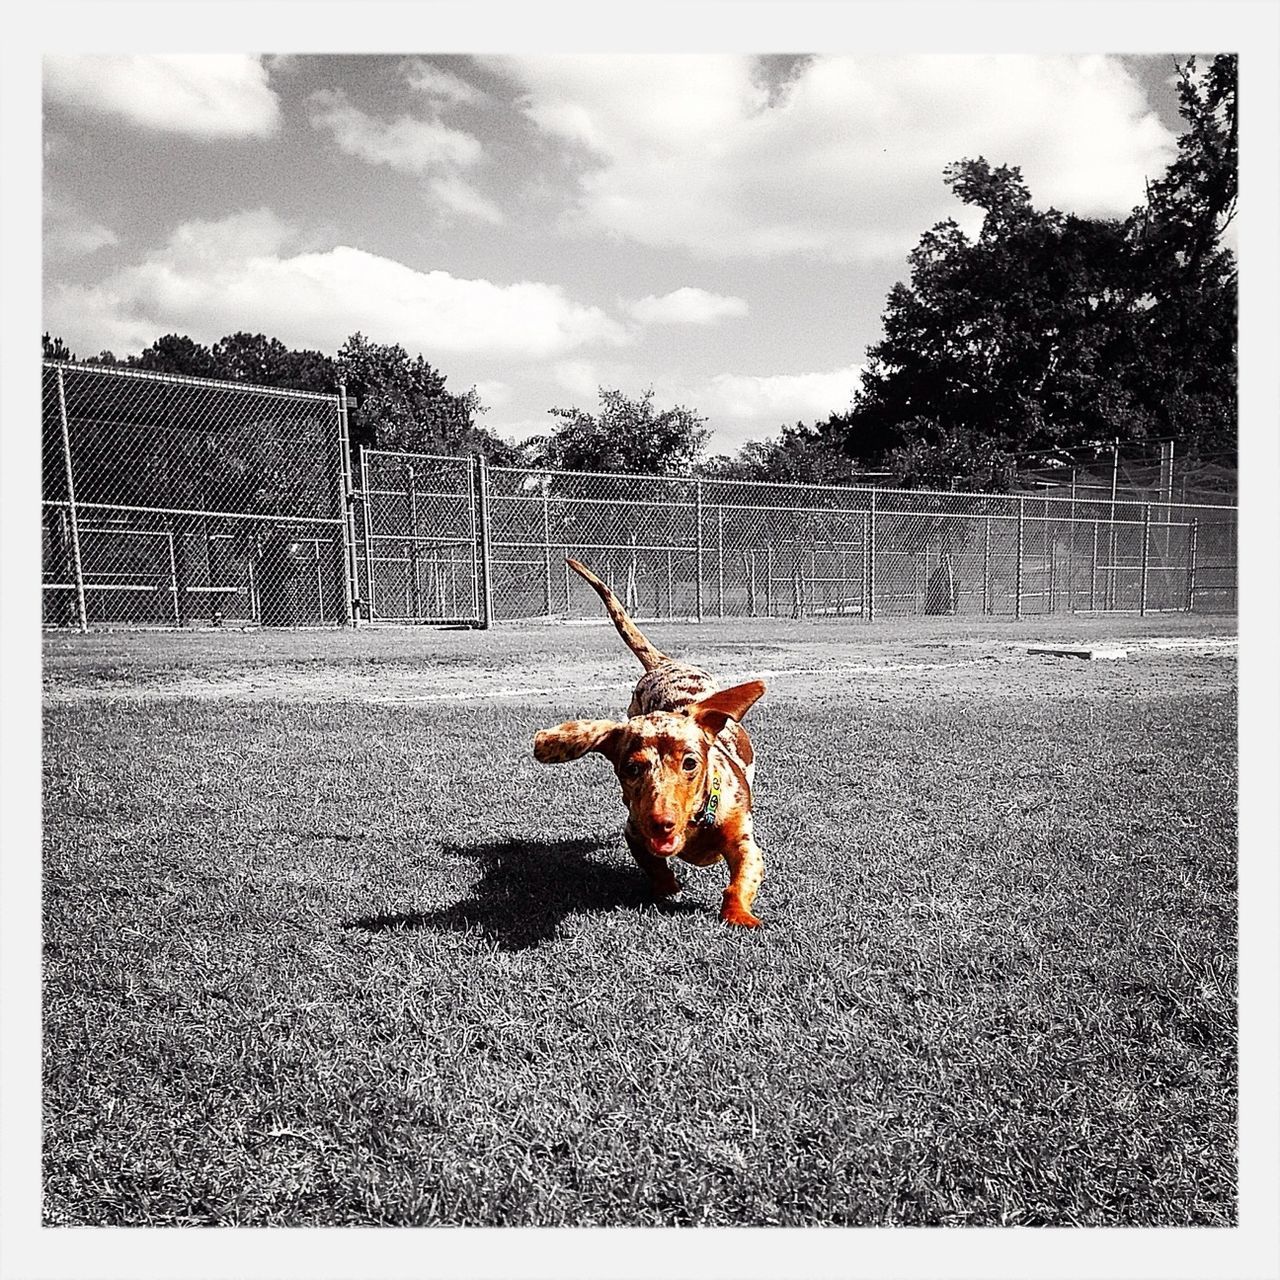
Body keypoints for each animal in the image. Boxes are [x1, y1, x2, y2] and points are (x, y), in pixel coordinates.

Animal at [532, 555, 768, 926]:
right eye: (631, 768)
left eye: (690, 763)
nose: (661, 822)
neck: (693, 826)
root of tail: (664, 664)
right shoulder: (634, 830)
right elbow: (654, 865)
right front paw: (667, 887)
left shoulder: (745, 843)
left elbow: (739, 881)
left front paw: (739, 915)